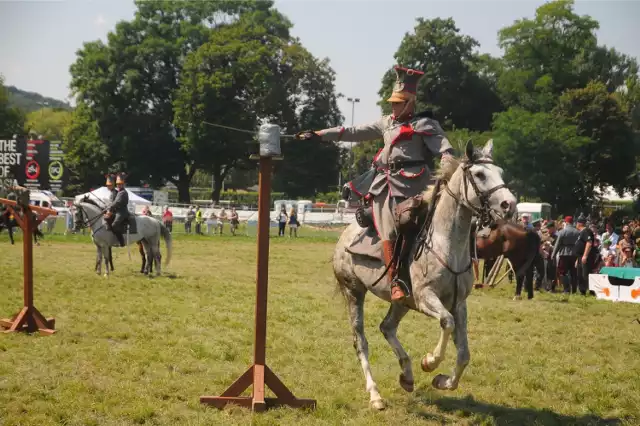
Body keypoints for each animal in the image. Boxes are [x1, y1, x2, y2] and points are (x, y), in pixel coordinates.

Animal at [332, 141, 516, 410]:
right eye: (480, 174)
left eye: (501, 172)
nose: (509, 205)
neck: (445, 243)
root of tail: (345, 234)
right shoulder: (426, 298)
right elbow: (446, 322)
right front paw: (429, 362)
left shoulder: (458, 304)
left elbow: (464, 354)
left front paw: (443, 381)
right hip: (353, 292)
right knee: (361, 342)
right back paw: (375, 395)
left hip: (401, 301)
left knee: (387, 327)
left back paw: (407, 376)